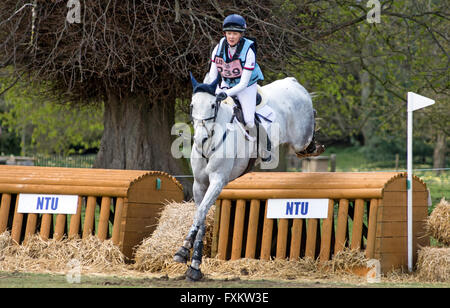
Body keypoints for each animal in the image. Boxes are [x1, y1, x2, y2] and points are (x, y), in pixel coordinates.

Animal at [172, 73, 324, 280]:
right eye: (192, 105)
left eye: (212, 105)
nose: (200, 138)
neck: (210, 141)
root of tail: (293, 83)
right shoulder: (199, 184)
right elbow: (201, 216)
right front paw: (194, 263)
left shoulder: (218, 181)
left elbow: (201, 212)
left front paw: (183, 252)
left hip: (301, 139)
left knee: (307, 138)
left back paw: (316, 144)